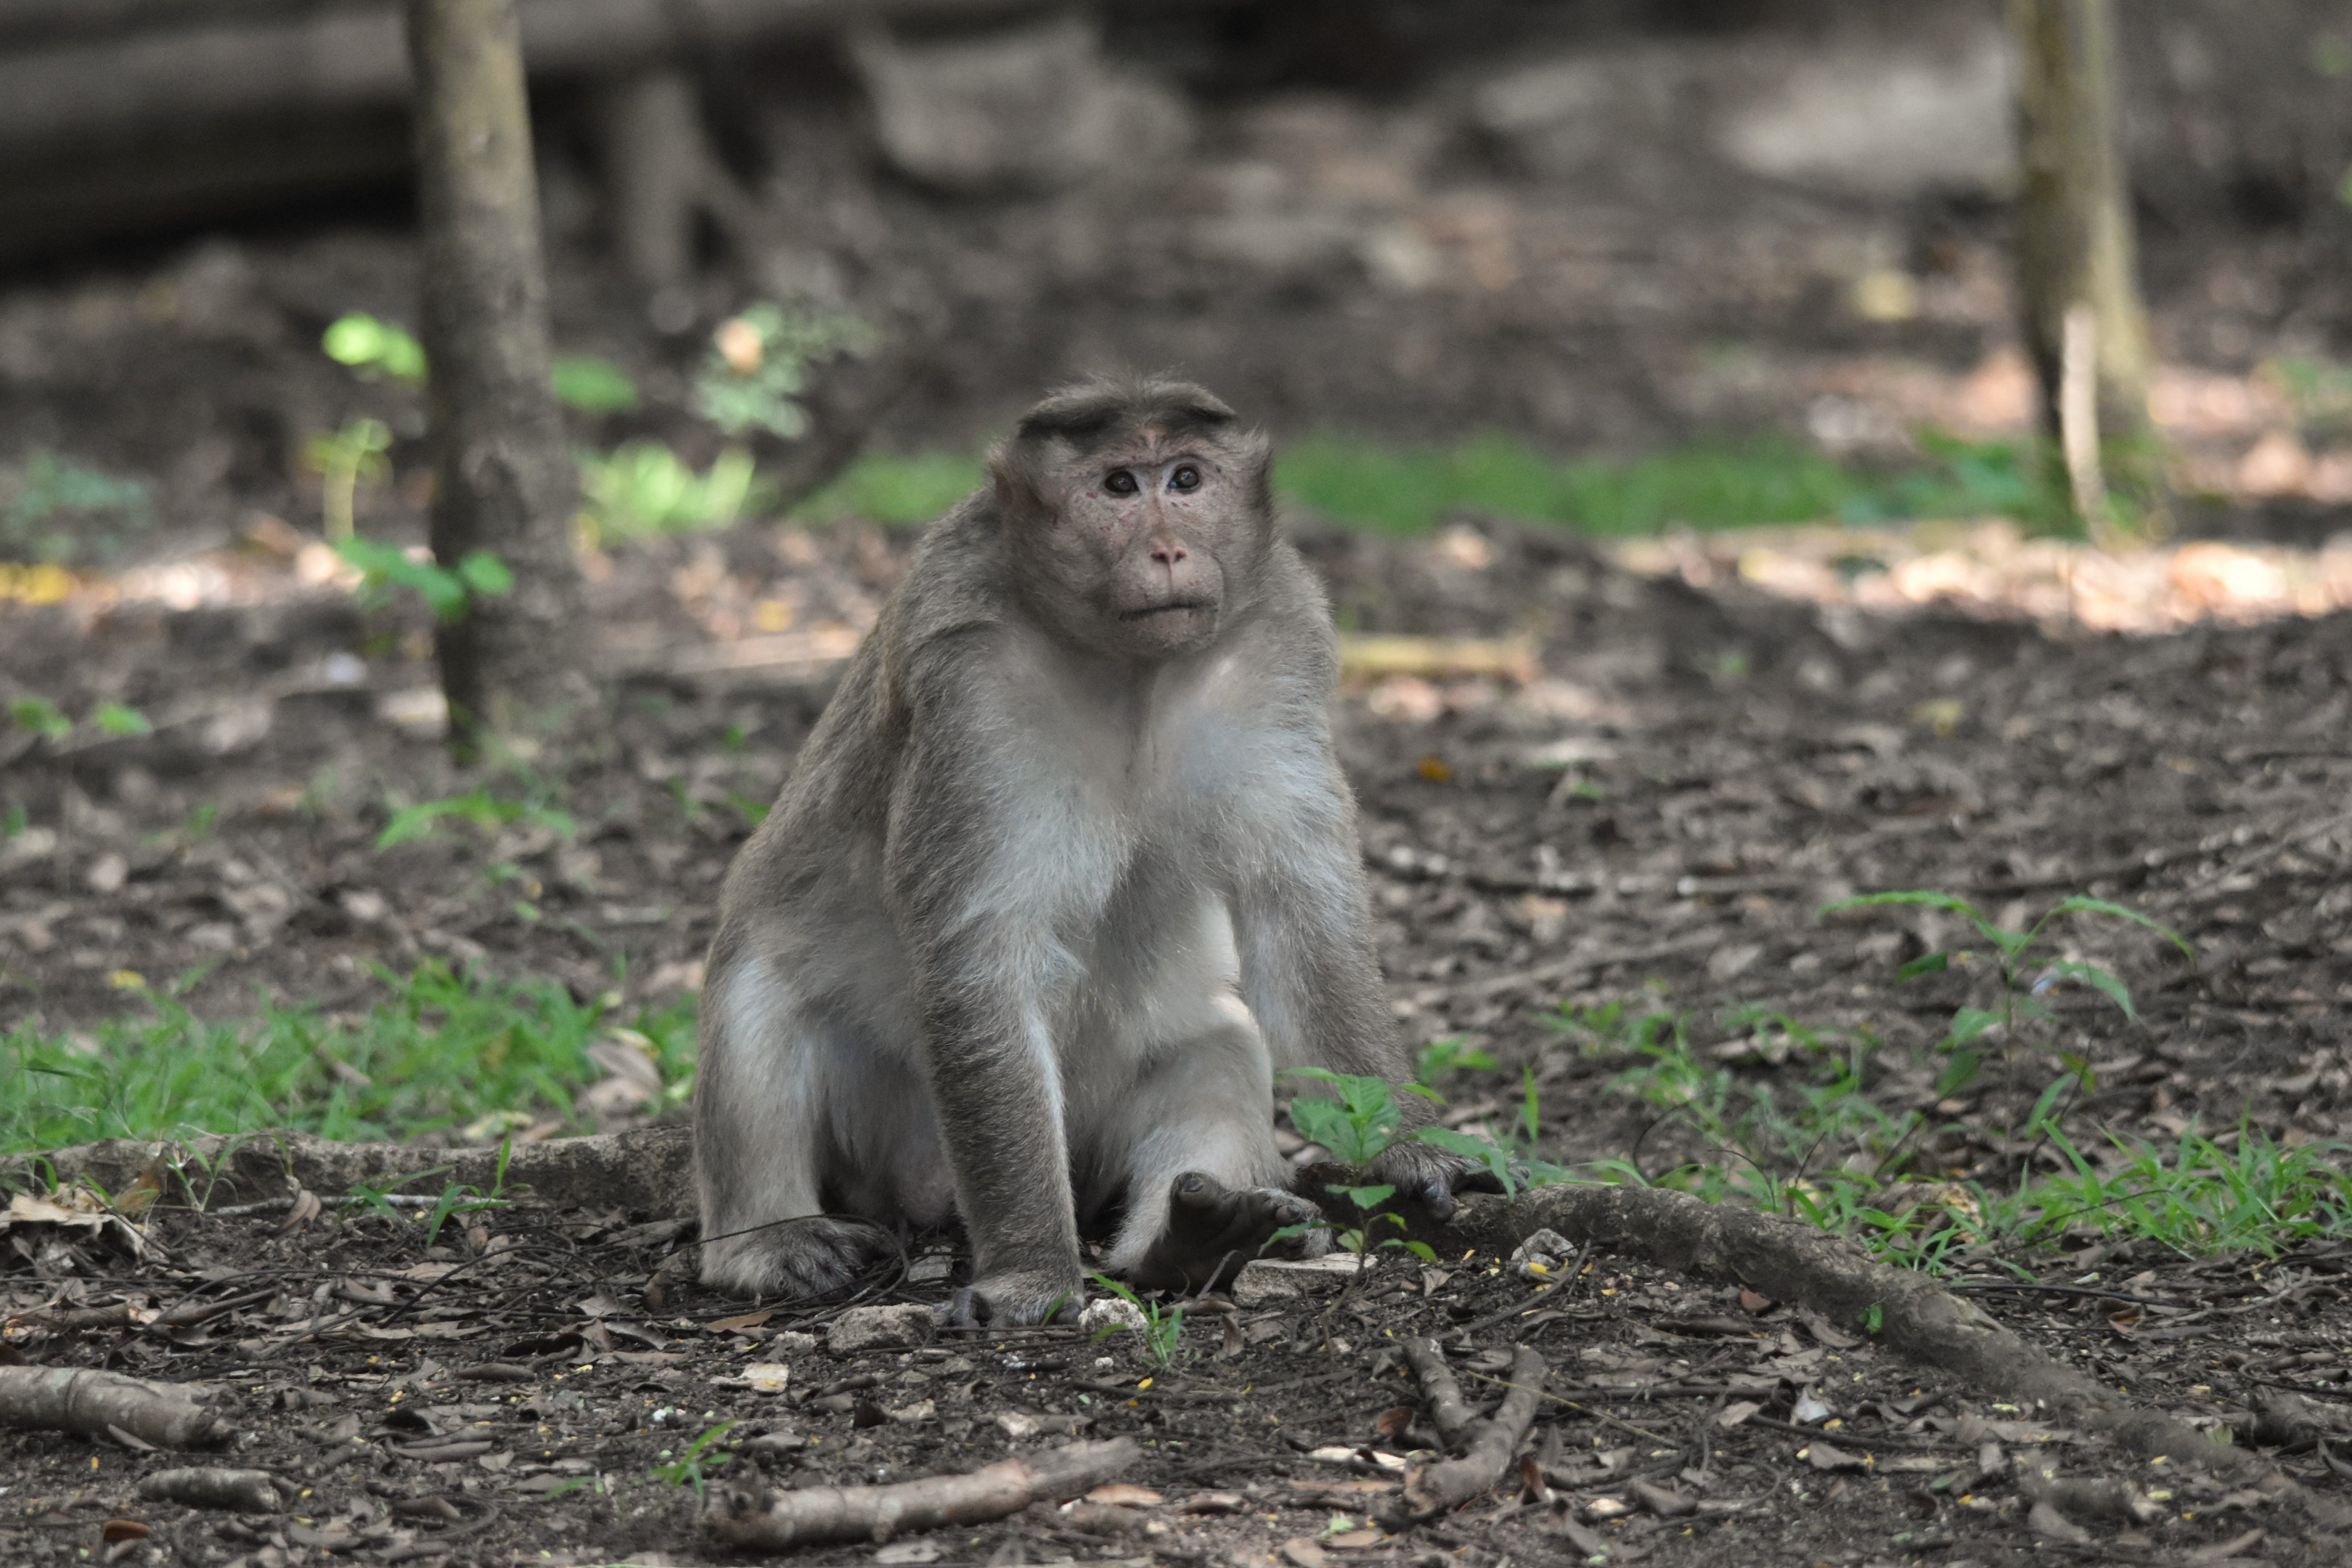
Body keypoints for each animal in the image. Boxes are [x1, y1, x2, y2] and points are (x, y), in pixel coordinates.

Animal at [691, 376, 1485, 1326]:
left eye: (1186, 478)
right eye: (1117, 487)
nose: (1172, 548)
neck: (1127, 668)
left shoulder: (1280, 643)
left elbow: (1301, 919)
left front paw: (1410, 1147)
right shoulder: (967, 682)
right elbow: (983, 957)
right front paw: (1031, 1272)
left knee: (1220, 1048)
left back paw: (1192, 1239)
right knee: (758, 1005)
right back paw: (766, 1245)